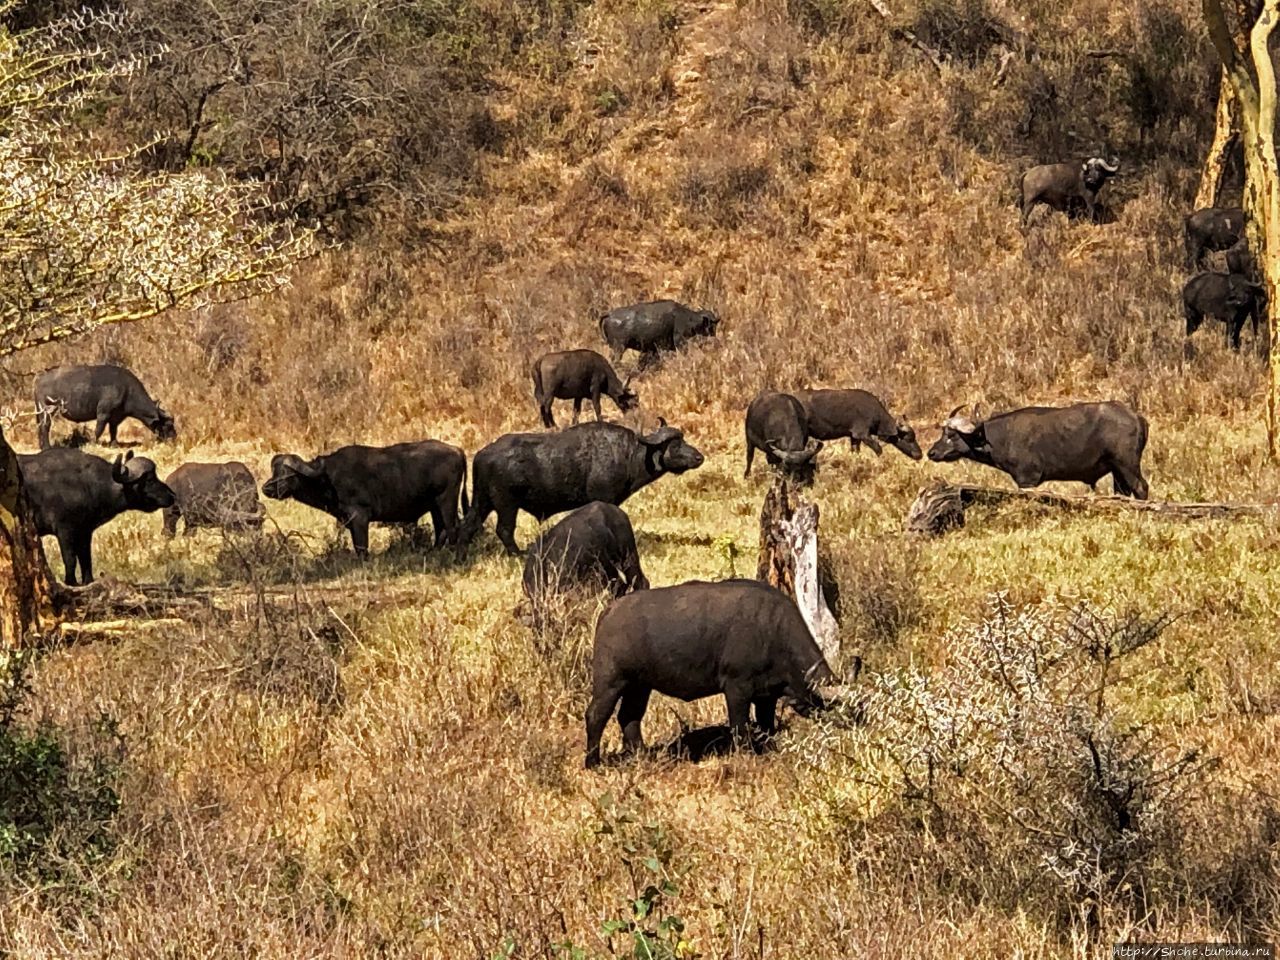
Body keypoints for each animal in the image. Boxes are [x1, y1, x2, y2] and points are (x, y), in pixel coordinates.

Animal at [35, 363, 176, 450]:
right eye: (168, 425)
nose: (174, 437)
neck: (127, 390)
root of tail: (40, 378)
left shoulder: (116, 417)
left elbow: (113, 431)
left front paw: (114, 444)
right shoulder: (103, 413)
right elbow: (99, 429)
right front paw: (93, 443)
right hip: (48, 409)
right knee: (45, 426)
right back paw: (47, 447)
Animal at [259, 442, 465, 555]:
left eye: (287, 473)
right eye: (274, 470)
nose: (267, 488)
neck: (327, 478)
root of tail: (456, 450)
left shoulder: (359, 518)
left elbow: (361, 548)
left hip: (446, 500)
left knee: (452, 527)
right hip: (435, 506)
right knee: (441, 529)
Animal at [460, 419, 701, 555]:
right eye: (675, 444)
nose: (699, 457)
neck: (628, 453)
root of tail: (482, 455)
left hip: (483, 503)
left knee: (469, 525)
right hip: (506, 505)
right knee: (504, 530)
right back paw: (518, 554)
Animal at [788, 391, 921, 463]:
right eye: (909, 438)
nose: (919, 454)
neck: (877, 414)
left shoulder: (854, 437)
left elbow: (855, 451)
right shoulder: (862, 434)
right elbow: (878, 449)